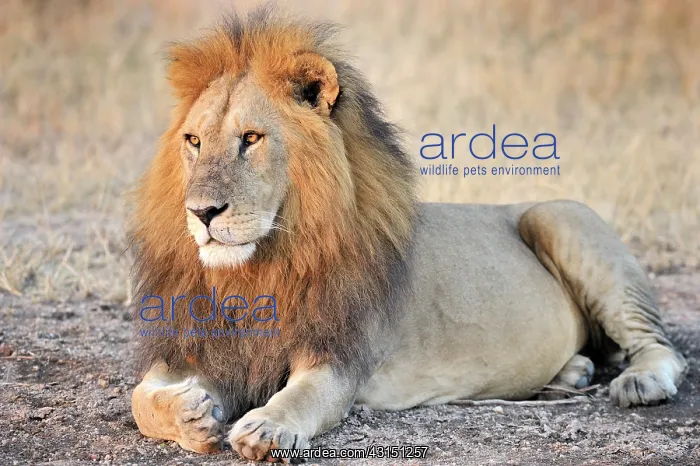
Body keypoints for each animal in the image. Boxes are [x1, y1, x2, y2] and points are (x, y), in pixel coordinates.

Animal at [129, 8, 687, 462]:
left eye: (251, 138)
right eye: (193, 141)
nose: (201, 212)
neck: (256, 270)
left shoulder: (339, 360)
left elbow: (300, 397)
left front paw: (265, 427)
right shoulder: (196, 346)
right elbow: (140, 398)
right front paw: (190, 414)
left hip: (561, 218)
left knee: (662, 348)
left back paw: (640, 382)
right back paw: (572, 373)